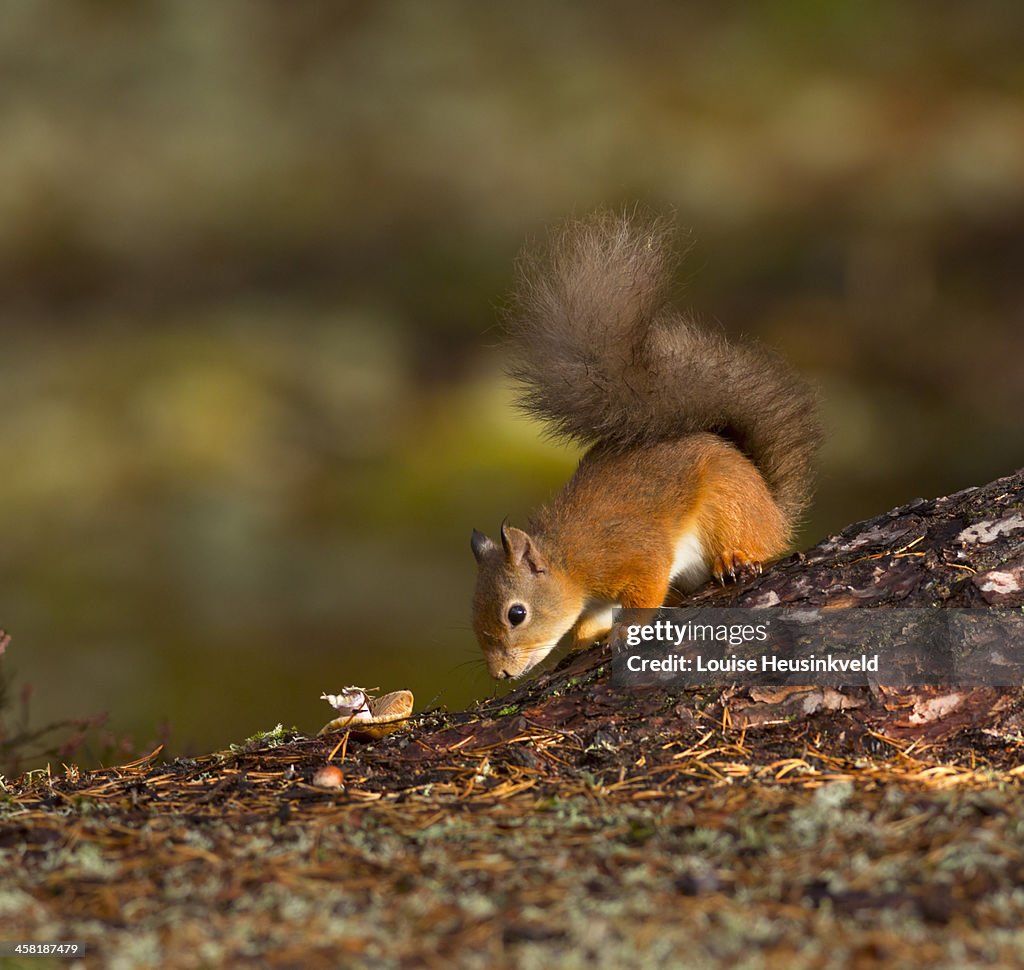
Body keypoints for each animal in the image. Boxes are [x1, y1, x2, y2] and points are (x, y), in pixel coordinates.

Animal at [468, 211, 819, 684]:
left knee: (755, 543)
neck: (570, 560)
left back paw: (735, 556)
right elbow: (590, 620)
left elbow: (647, 588)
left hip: (728, 504)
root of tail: (773, 508)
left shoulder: (632, 553)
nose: (501, 675)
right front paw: (589, 635)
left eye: (516, 614)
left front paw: (625, 629)